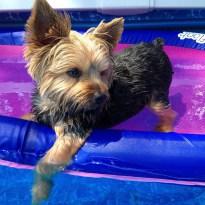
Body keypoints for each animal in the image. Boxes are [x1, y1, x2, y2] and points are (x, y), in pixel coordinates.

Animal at [24, 0, 176, 203]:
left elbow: (46, 163)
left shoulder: (73, 131)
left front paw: (40, 192)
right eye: (73, 72)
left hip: (157, 95)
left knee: (168, 112)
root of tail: (156, 45)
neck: (58, 101)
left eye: (103, 72)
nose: (102, 97)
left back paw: (164, 128)